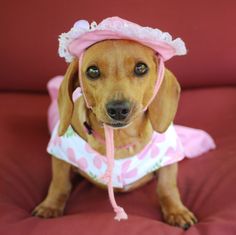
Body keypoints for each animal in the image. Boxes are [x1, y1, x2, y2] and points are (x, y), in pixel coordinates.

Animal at [31, 39, 197, 229]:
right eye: (93, 71)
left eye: (141, 68)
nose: (118, 109)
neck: (119, 138)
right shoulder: (61, 155)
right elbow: (59, 183)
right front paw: (50, 205)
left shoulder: (168, 158)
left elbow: (167, 187)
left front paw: (177, 211)